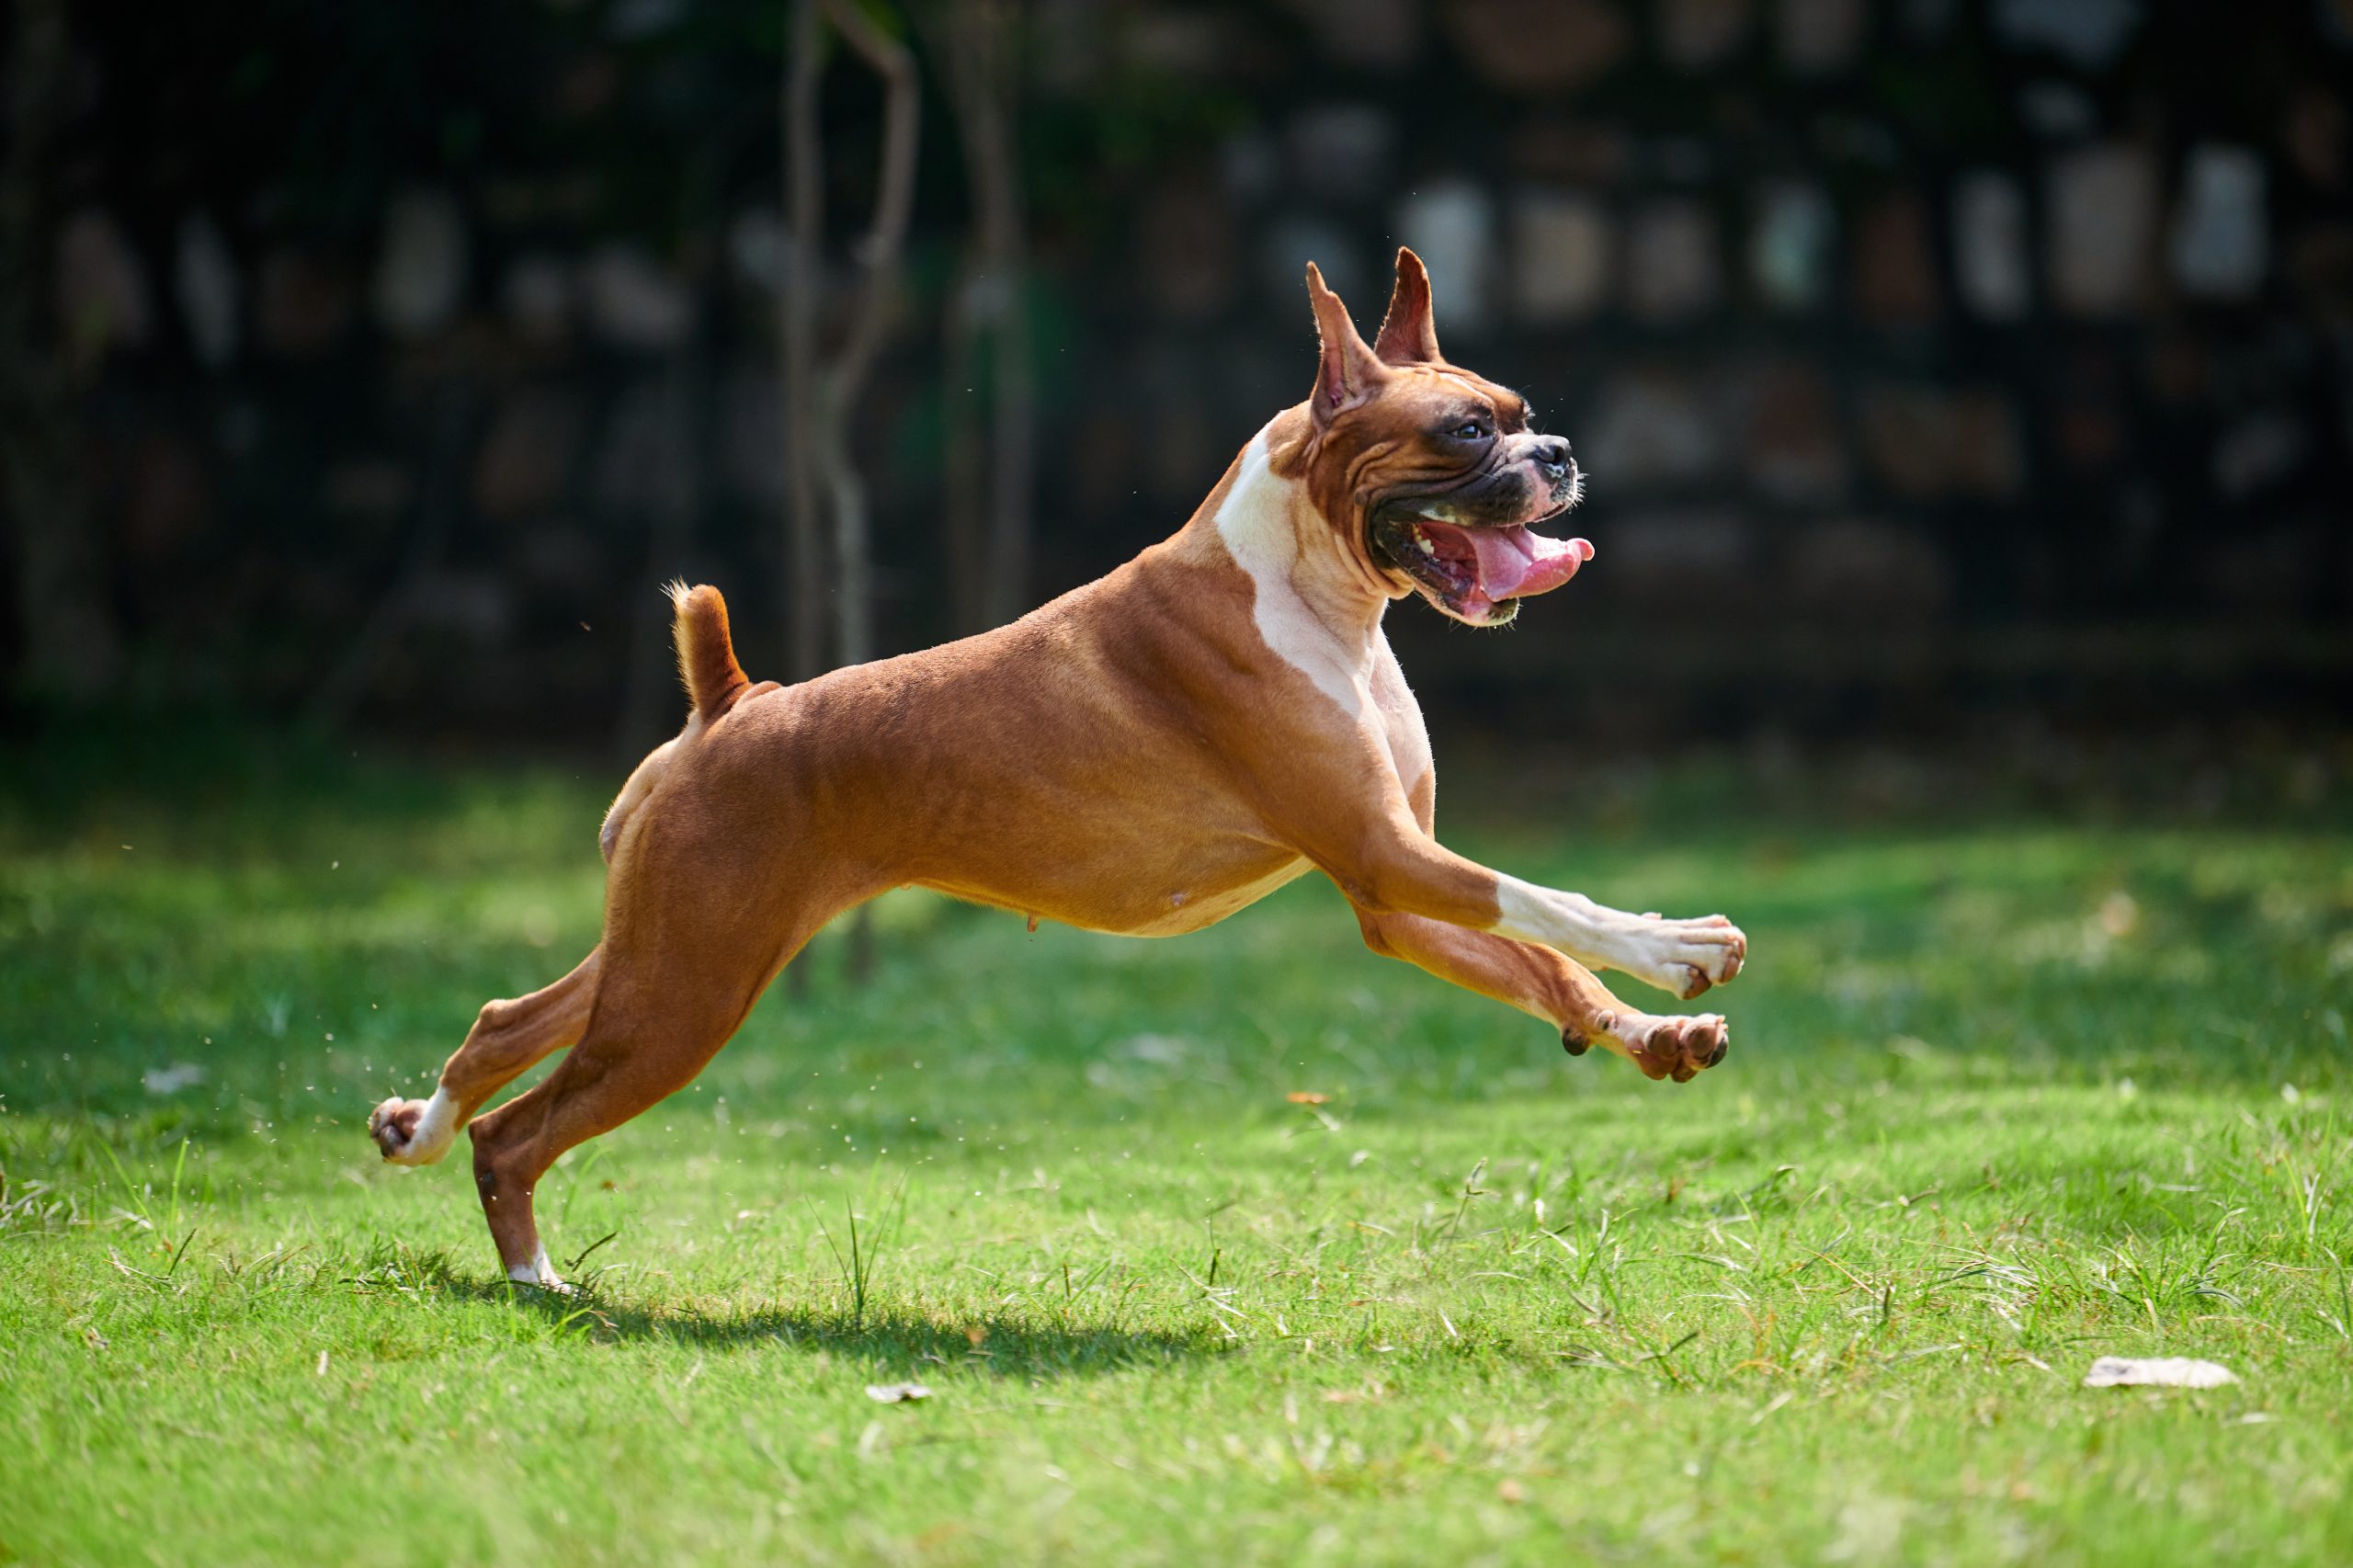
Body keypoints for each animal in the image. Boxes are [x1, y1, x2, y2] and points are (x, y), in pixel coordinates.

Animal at [367, 246, 1750, 1280]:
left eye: (1523, 415)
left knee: (504, 1024)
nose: (1559, 455)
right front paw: (1678, 941)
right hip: (686, 995)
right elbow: (1555, 904)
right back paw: (538, 1276)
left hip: (660, 952)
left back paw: (416, 1130)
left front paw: (1650, 1029)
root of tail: (731, 705)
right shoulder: (1388, 856)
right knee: (522, 1127)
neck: (1317, 583)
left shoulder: (1392, 897)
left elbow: (1544, 962)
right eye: (1465, 430)